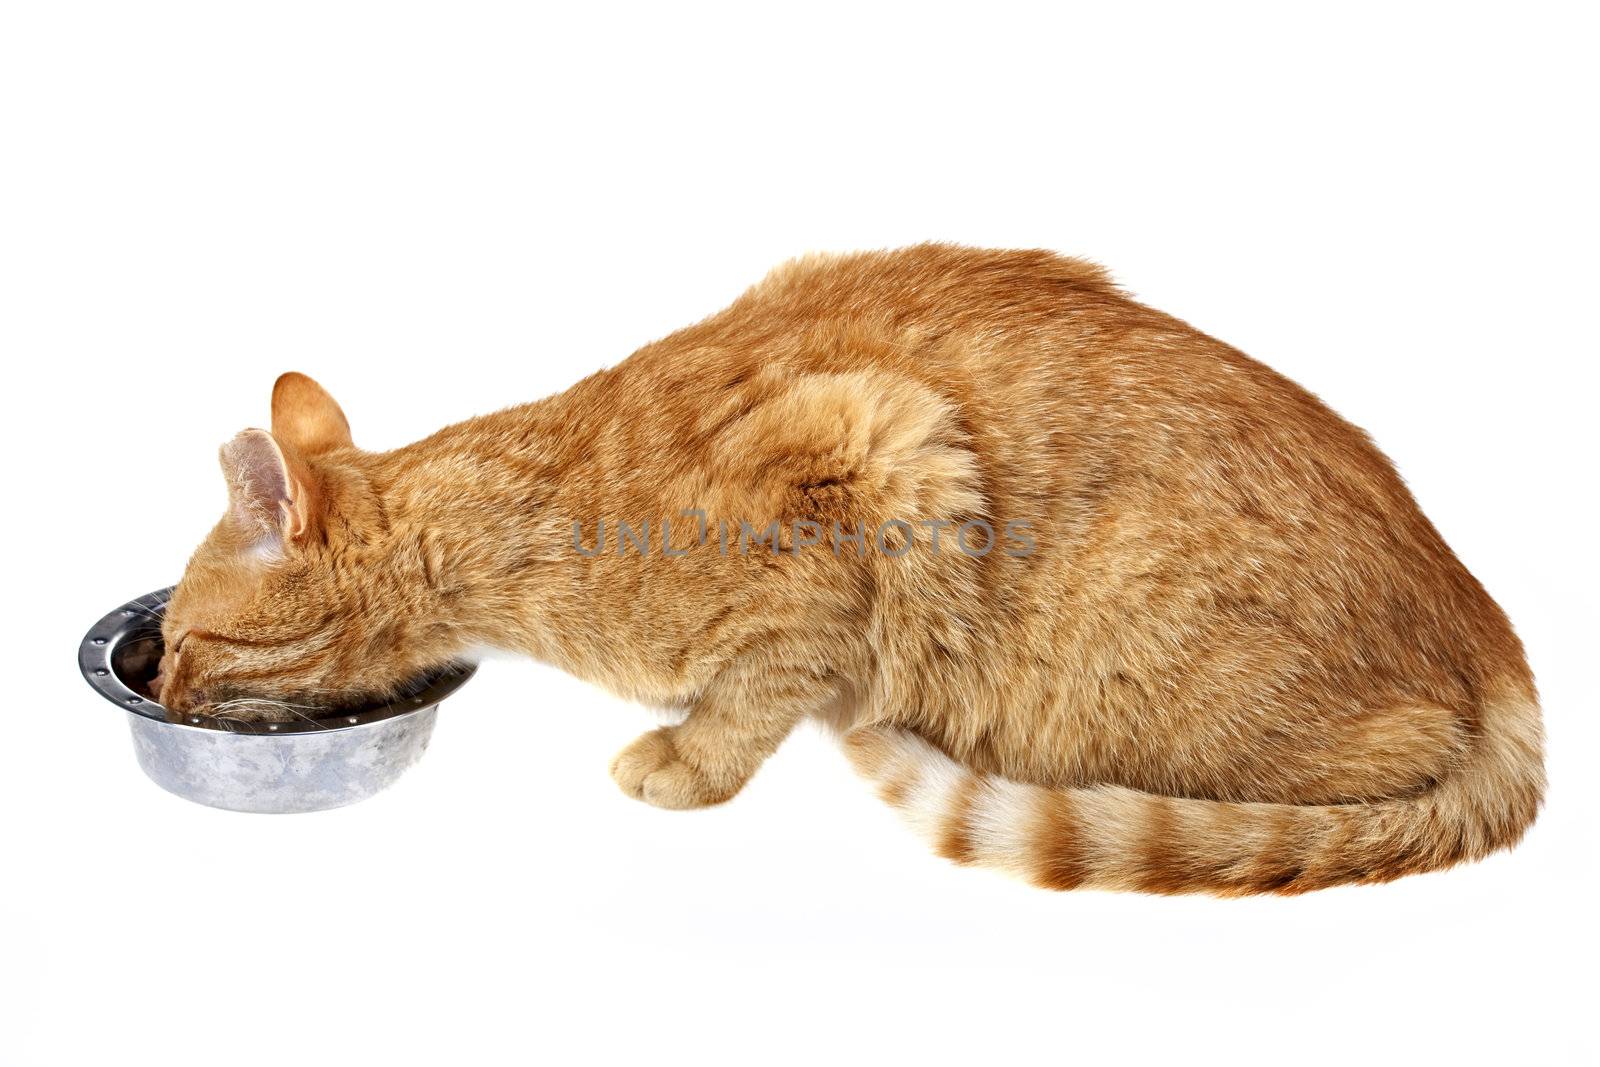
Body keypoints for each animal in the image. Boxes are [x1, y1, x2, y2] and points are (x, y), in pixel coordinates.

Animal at [156, 244, 1542, 895]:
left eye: (181, 640)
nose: (161, 689)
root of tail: (1488, 627)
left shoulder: (882, 455)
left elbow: (762, 687)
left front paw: (690, 758)